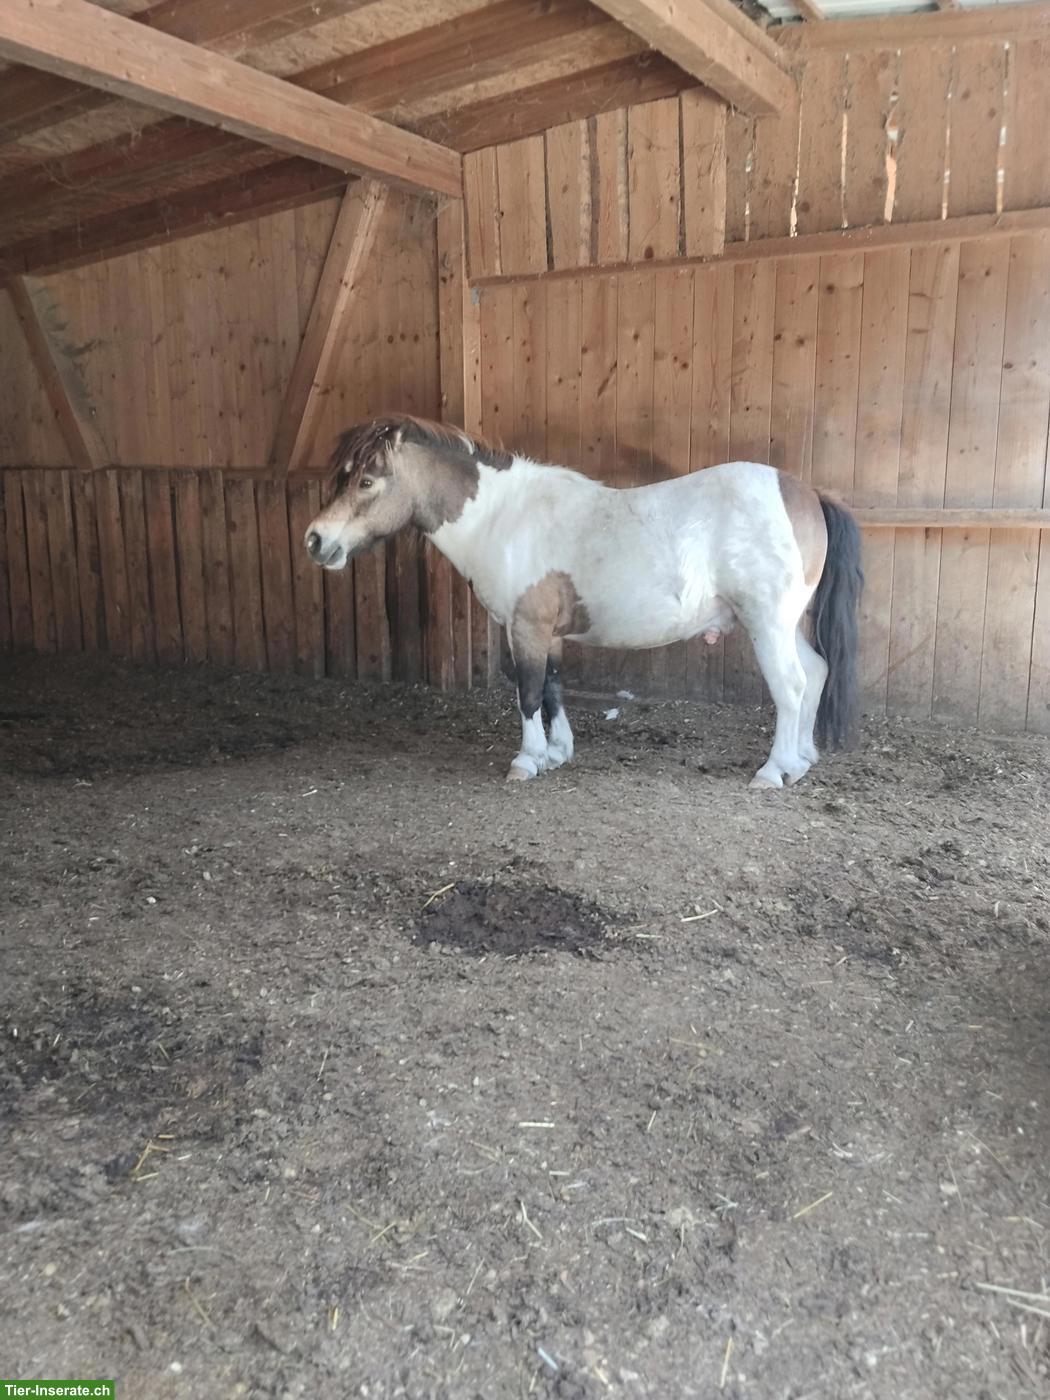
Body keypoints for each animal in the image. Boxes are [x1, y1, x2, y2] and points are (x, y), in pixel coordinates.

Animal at [304, 414, 863, 790]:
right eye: (344, 476)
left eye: (367, 480)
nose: (315, 539)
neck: (504, 517)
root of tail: (804, 492)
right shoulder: (548, 631)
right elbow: (553, 688)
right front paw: (557, 752)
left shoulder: (526, 626)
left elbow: (529, 692)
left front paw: (526, 761)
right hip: (787, 624)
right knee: (815, 673)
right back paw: (803, 760)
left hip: (767, 624)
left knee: (790, 686)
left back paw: (774, 770)